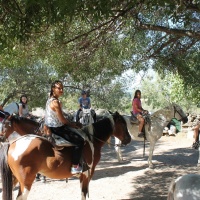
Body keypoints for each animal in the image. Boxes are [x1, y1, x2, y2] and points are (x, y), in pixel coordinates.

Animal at [0, 111, 131, 199]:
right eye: (123, 124)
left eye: (6, 124)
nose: (128, 139)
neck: (91, 140)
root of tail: (13, 143)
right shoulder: (86, 174)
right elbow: (84, 194)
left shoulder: (83, 175)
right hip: (26, 182)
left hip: (15, 179)